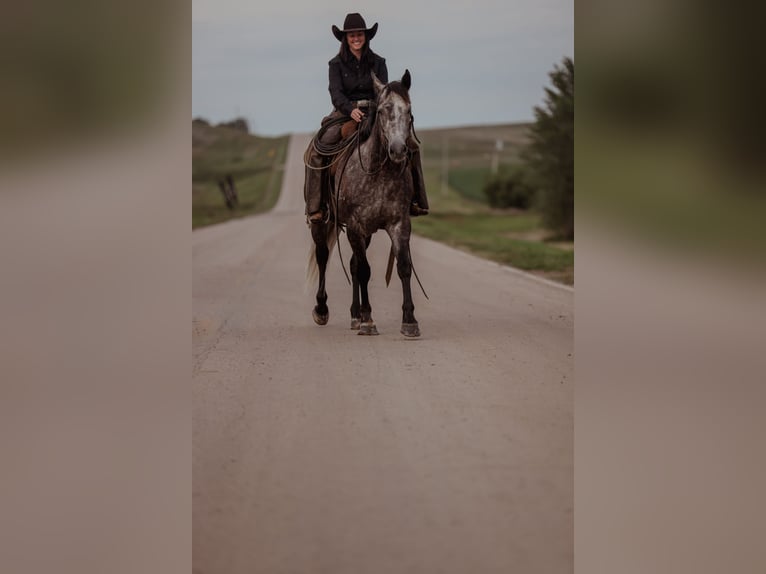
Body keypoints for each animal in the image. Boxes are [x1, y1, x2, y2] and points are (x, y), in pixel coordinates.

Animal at [307, 69, 421, 338]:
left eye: (409, 109)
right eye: (382, 110)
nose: (398, 150)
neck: (377, 171)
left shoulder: (399, 224)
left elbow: (403, 266)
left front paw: (409, 320)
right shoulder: (356, 226)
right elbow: (365, 270)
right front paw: (369, 321)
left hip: (364, 232)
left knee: (352, 263)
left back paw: (355, 315)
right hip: (323, 222)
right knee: (323, 256)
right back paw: (322, 309)